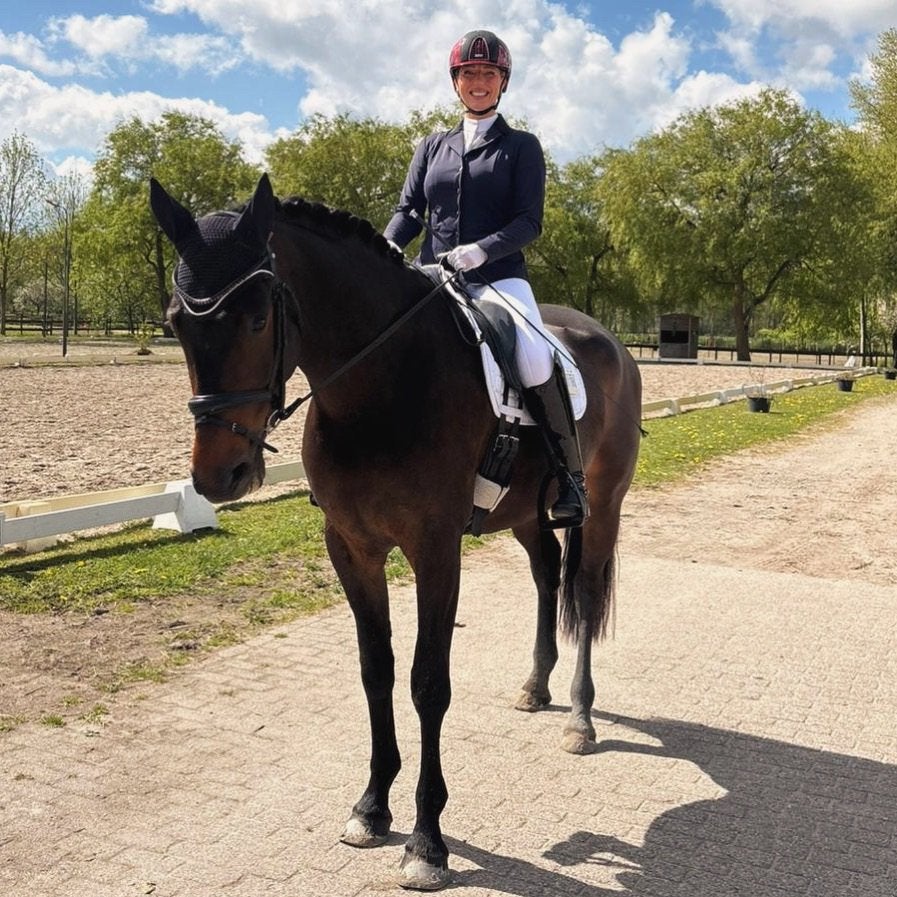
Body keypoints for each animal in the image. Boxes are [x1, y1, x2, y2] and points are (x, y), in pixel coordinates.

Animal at [149, 173, 642, 890]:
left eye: (258, 317)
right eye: (176, 323)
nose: (221, 476)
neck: (376, 386)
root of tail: (606, 339)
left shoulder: (435, 549)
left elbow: (427, 684)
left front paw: (427, 842)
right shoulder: (353, 547)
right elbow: (374, 670)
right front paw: (372, 807)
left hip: (601, 504)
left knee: (580, 586)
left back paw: (578, 717)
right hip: (525, 516)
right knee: (547, 575)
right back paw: (535, 686)